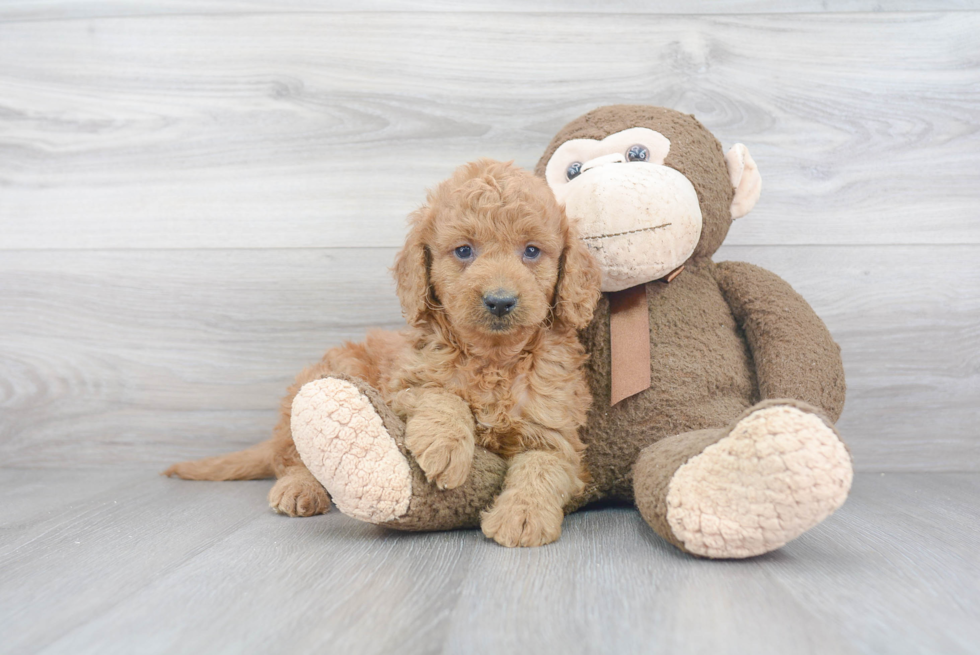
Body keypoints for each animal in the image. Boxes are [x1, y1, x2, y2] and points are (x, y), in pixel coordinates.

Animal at [165, 159, 600, 548]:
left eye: (532, 251)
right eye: (463, 251)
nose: (500, 301)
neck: (493, 359)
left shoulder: (555, 432)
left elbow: (544, 467)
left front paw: (522, 516)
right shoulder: (401, 386)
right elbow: (439, 394)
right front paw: (446, 444)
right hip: (324, 378)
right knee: (293, 457)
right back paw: (299, 488)